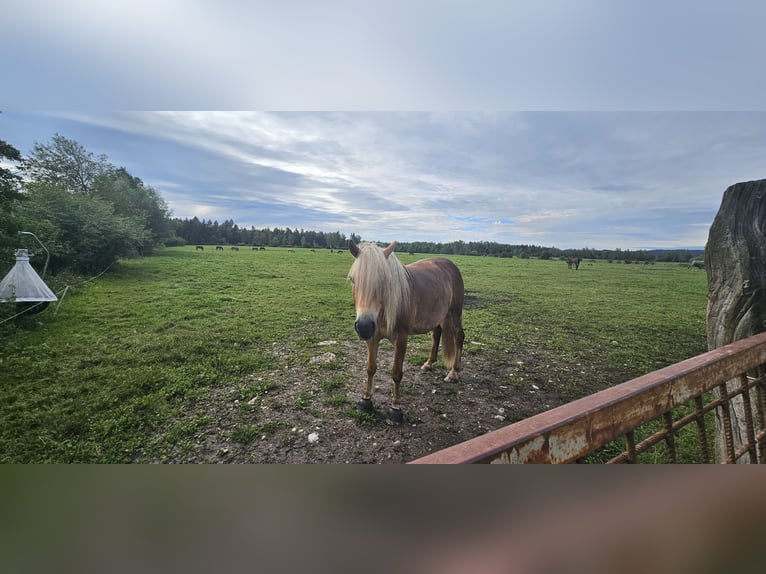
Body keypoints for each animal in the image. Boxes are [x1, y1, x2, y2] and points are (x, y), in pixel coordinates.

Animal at [347, 240, 465, 423]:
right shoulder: (372, 338)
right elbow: (370, 368)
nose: (364, 326)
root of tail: (449, 264)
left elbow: (396, 373)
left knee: (459, 337)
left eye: (384, 281)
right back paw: (428, 364)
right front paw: (366, 400)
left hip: (455, 312)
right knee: (437, 335)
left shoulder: (401, 339)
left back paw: (453, 373)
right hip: (438, 316)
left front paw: (395, 409)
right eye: (353, 280)